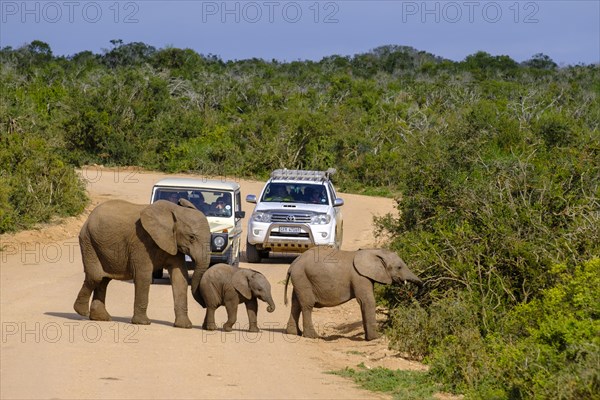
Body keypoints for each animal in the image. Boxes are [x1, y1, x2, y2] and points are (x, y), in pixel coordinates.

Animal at [73, 199, 211, 328]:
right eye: (192, 237)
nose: (204, 305)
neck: (175, 211)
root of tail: (89, 217)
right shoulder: (141, 242)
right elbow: (143, 276)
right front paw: (143, 323)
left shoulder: (173, 243)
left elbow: (180, 277)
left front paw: (184, 326)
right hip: (88, 241)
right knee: (96, 276)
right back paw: (81, 312)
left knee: (103, 280)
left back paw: (101, 318)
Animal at [284, 247, 422, 340]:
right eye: (399, 267)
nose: (419, 291)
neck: (374, 252)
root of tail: (292, 265)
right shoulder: (360, 276)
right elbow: (367, 301)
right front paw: (375, 338)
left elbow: (364, 303)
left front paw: (368, 338)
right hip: (303, 278)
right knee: (307, 305)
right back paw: (312, 336)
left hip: (299, 280)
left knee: (295, 304)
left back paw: (294, 333)